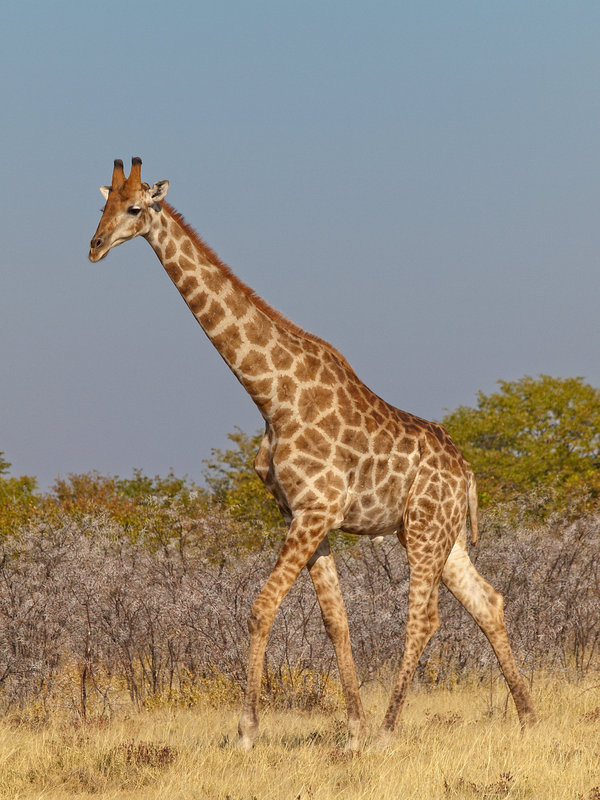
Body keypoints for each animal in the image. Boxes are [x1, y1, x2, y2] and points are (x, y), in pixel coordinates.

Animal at [89, 158, 537, 751]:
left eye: (135, 208)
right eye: (103, 206)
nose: (94, 246)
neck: (271, 396)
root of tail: (466, 475)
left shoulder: (315, 509)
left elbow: (261, 608)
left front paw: (248, 732)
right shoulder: (304, 515)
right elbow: (335, 620)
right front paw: (352, 730)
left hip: (424, 530)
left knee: (425, 616)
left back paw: (391, 730)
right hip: (438, 533)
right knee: (488, 601)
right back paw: (529, 717)